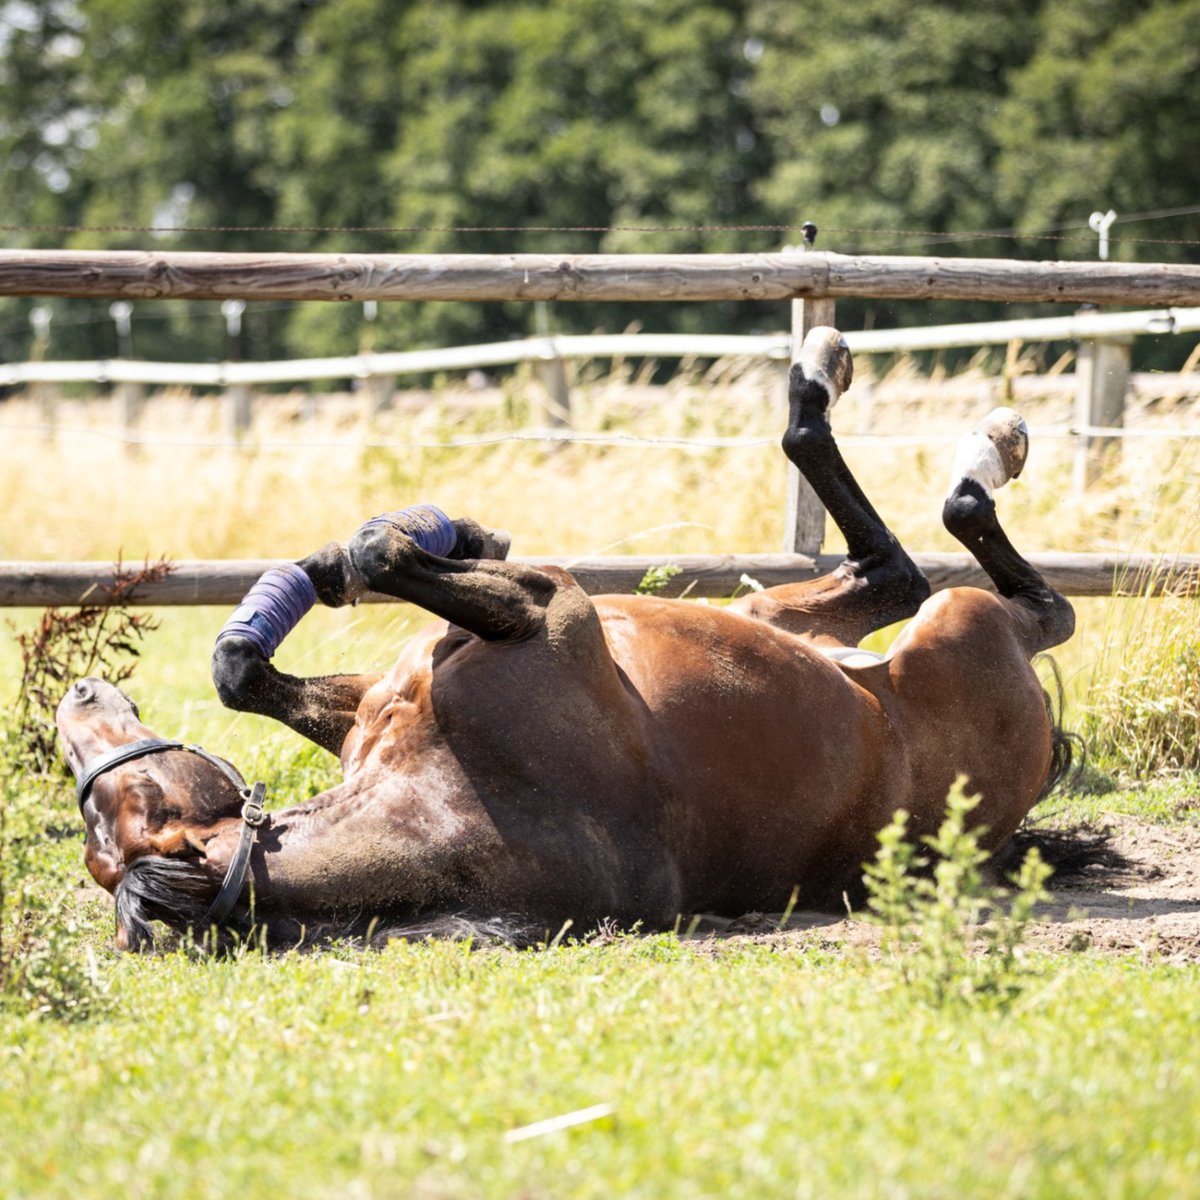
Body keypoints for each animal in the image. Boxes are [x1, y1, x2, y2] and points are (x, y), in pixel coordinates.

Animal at [56, 326, 1075, 945]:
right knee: (977, 581)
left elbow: (246, 660)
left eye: (123, 797)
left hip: (781, 620)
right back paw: (966, 437)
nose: (79, 697)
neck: (451, 794)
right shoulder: (559, 611)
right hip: (957, 627)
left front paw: (433, 541)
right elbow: (378, 555)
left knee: (896, 567)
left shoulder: (388, 693)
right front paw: (427, 537)